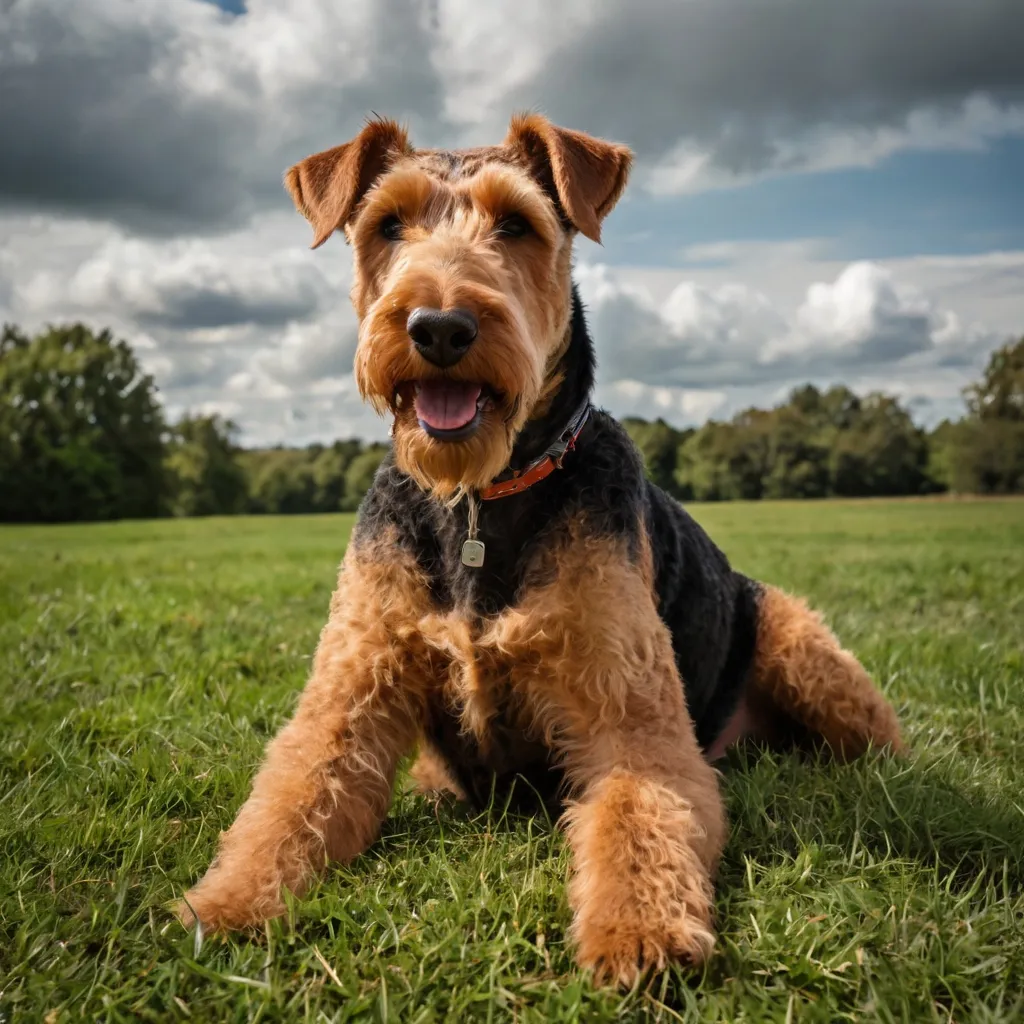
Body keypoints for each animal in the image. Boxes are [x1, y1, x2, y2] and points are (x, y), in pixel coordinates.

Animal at [178, 112, 905, 983]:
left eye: (517, 225)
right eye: (387, 223)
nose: (440, 327)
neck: (477, 504)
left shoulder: (630, 722)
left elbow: (638, 816)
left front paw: (638, 936)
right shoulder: (349, 696)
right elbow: (289, 800)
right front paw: (224, 907)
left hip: (806, 653)